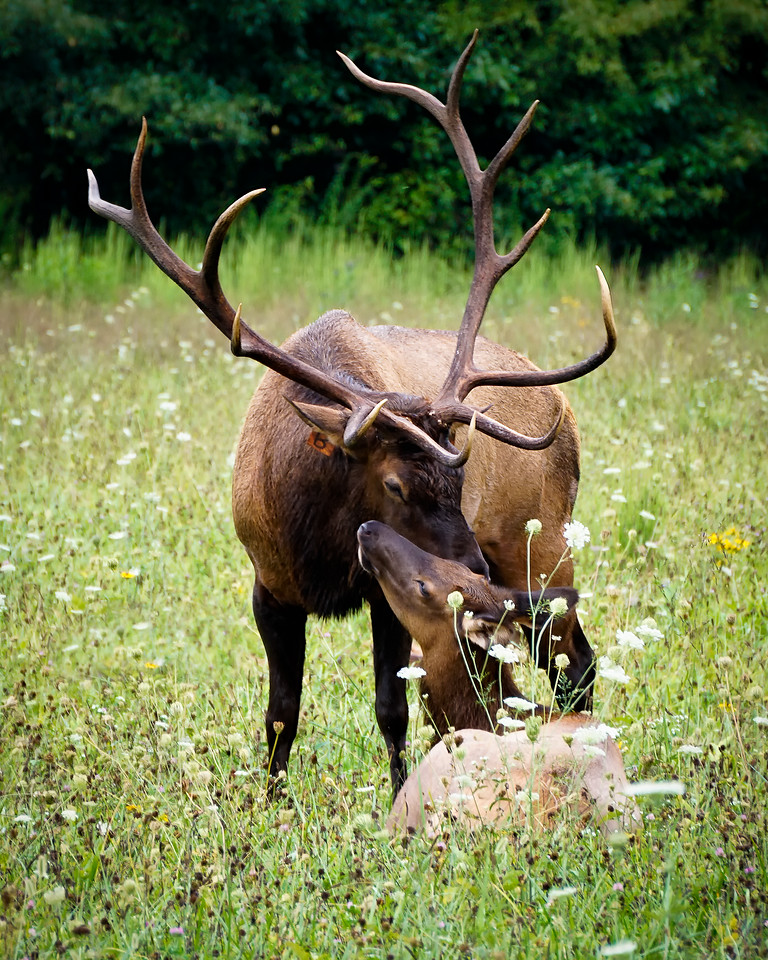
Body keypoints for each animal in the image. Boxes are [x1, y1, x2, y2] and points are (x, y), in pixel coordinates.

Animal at [87, 31, 616, 796]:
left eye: (461, 479)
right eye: (394, 483)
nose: (470, 571)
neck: (317, 536)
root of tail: (565, 409)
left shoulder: (384, 589)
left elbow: (392, 707)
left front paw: (400, 793)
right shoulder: (268, 584)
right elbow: (281, 712)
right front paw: (270, 803)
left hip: (543, 547)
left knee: (576, 663)